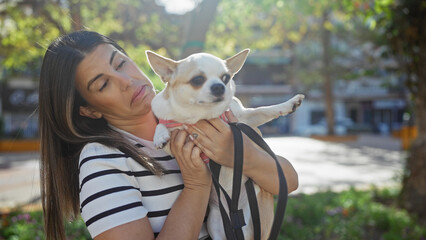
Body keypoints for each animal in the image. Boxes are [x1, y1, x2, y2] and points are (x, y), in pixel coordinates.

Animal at [148, 49, 304, 240]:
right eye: (197, 80)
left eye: (226, 78)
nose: (219, 86)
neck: (200, 116)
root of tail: (233, 211)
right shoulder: (175, 140)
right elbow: (163, 124)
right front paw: (160, 135)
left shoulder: (244, 119)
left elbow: (265, 110)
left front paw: (289, 103)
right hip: (216, 224)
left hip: (257, 219)